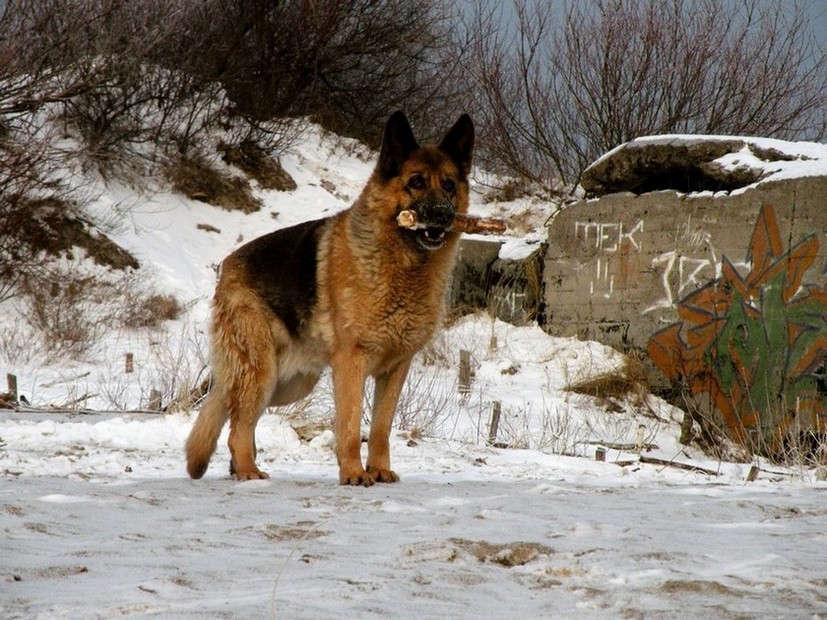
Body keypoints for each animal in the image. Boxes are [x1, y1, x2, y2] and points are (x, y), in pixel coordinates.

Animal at [185, 111, 474, 485]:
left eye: (449, 185)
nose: (442, 215)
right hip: (263, 372)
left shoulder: (395, 369)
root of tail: (228, 264)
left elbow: (380, 428)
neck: (402, 264)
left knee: (233, 412)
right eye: (416, 182)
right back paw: (247, 471)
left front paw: (379, 469)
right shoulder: (352, 363)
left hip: (288, 384)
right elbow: (349, 426)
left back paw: (239, 466)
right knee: (238, 425)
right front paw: (353, 473)